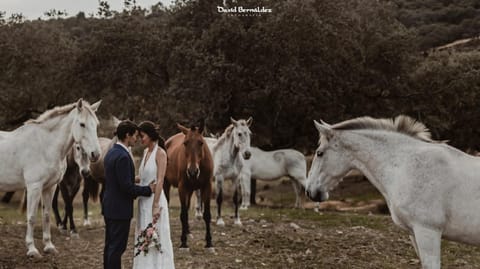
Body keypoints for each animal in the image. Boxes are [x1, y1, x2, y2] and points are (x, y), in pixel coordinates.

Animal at [0, 98, 101, 255]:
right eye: (82, 124)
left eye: (96, 124)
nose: (95, 154)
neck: (45, 146)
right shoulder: (34, 187)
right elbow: (31, 217)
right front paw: (32, 249)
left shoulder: (50, 187)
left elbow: (46, 215)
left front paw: (49, 246)